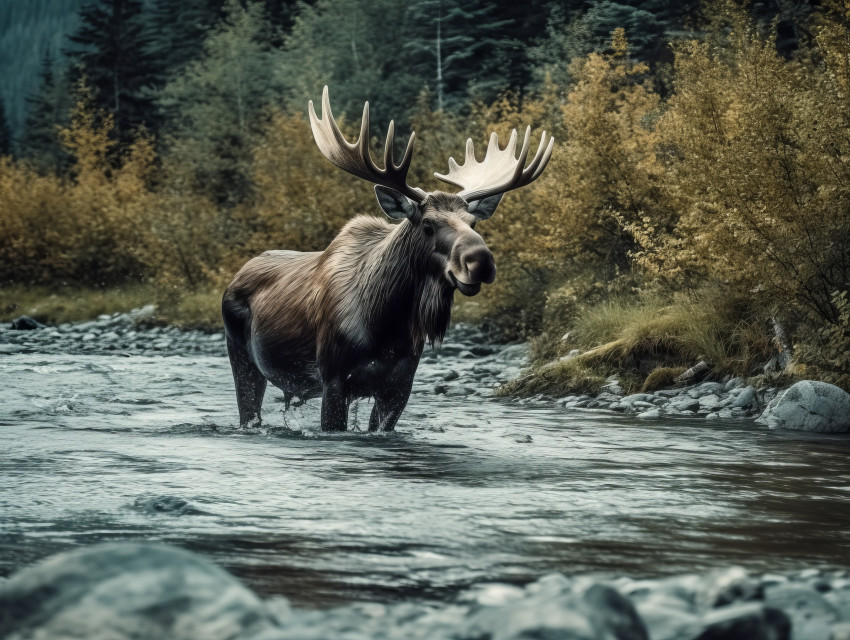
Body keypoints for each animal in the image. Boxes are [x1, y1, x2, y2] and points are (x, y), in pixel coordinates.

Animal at [222, 87, 553, 432]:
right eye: (427, 224)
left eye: (473, 223)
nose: (481, 261)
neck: (387, 323)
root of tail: (238, 274)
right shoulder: (333, 378)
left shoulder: (399, 384)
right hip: (242, 358)